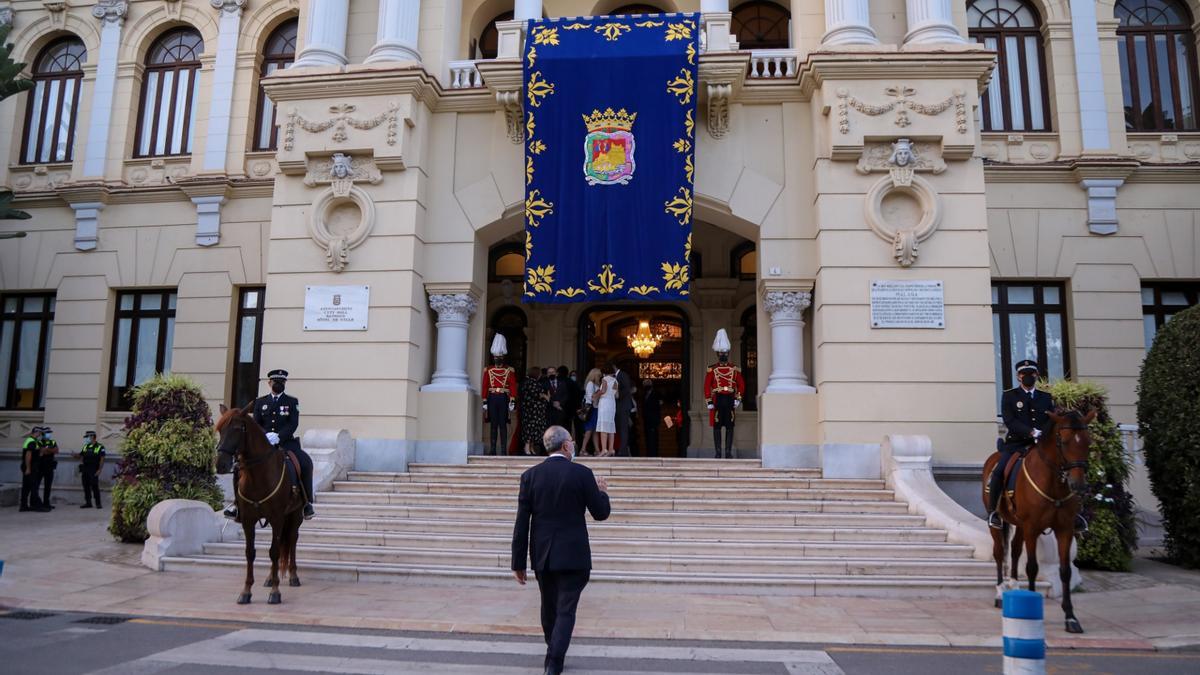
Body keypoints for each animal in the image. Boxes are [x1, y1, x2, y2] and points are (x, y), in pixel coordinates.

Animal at [218, 401, 307, 600]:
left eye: (236, 429)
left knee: (292, 539)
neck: (257, 475)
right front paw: (246, 591)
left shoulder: (277, 517)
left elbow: (274, 552)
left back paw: (293, 575)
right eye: (219, 429)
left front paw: (275, 592)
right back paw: (269, 577)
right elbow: (250, 553)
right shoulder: (248, 520)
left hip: (295, 514)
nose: (220, 464)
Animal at [979, 408, 1094, 634]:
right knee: (999, 552)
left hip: (1019, 524)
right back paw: (1000, 592)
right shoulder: (1032, 527)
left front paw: (1070, 617)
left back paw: (1014, 586)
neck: (1054, 483)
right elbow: (1032, 566)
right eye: (1064, 442)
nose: (1078, 485)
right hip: (1000, 522)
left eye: (1088, 441)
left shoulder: (1064, 529)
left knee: (1014, 550)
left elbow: (1065, 571)